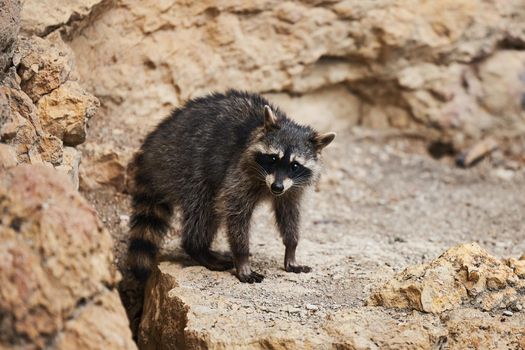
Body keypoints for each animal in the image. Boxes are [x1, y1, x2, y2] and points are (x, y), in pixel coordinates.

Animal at [129, 89, 336, 284]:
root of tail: (152, 148)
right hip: (183, 165)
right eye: (272, 159)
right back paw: (198, 248)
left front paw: (291, 249)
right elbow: (235, 212)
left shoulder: (292, 187)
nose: (277, 188)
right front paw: (242, 258)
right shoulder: (239, 172)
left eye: (294, 166)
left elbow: (289, 213)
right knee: (204, 209)